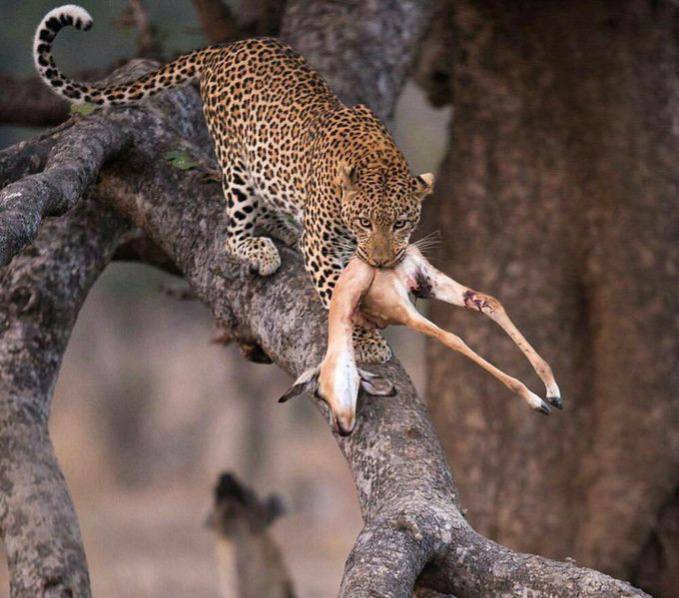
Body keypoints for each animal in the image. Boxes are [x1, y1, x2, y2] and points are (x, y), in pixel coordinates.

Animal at [34, 4, 435, 364]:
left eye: (401, 223)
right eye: (365, 222)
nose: (382, 260)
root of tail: (227, 47)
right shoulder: (322, 249)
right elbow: (338, 294)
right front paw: (368, 342)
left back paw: (285, 229)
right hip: (237, 165)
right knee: (233, 235)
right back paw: (260, 248)